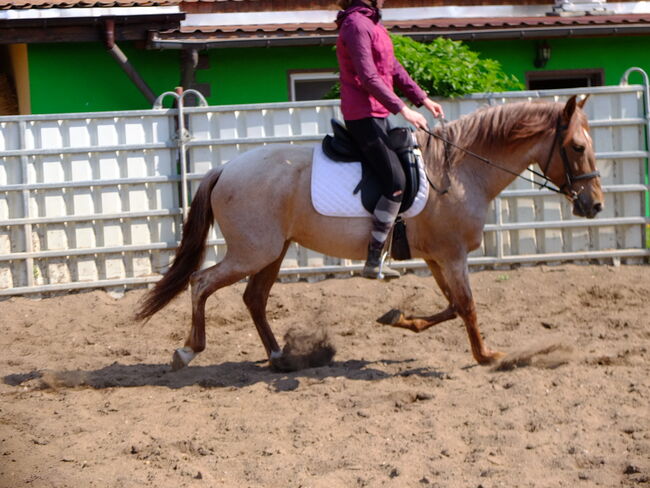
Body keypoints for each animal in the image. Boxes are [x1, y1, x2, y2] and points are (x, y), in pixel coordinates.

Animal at [135, 94, 604, 370]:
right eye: (578, 147)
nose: (594, 204)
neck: (459, 171)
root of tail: (226, 168)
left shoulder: (437, 257)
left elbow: (452, 306)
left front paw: (400, 318)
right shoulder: (452, 256)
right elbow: (468, 306)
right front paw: (489, 356)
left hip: (273, 251)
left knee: (254, 298)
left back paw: (280, 356)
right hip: (253, 252)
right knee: (202, 282)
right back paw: (188, 349)